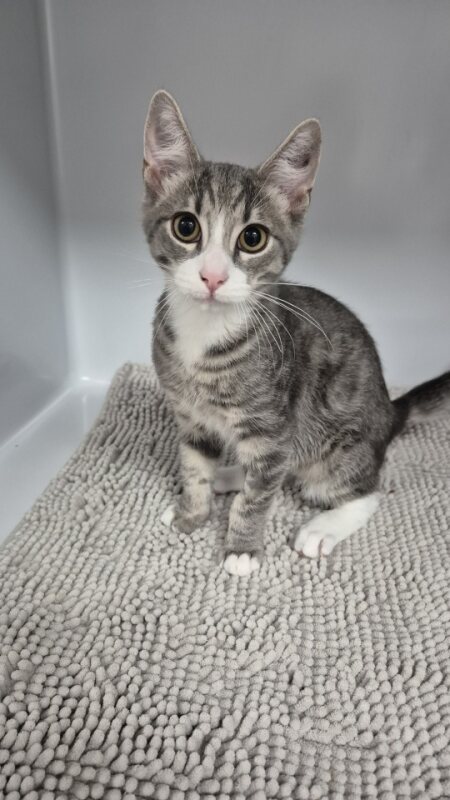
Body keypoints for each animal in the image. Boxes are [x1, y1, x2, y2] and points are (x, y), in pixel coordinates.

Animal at [142, 90, 450, 577]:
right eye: (186, 227)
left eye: (252, 238)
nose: (213, 276)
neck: (204, 336)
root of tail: (389, 414)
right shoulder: (191, 416)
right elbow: (194, 466)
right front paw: (194, 511)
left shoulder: (273, 424)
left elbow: (258, 496)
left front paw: (242, 548)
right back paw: (228, 475)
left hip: (338, 445)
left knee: (363, 490)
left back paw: (321, 526)